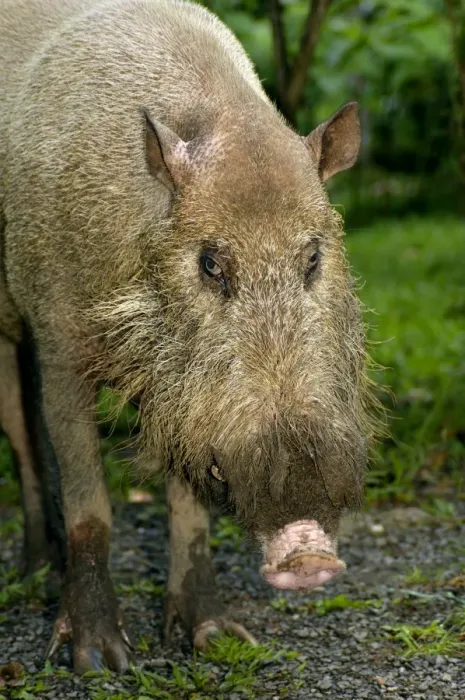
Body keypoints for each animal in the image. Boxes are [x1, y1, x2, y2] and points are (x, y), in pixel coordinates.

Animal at [0, 0, 377, 674]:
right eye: (209, 264)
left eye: (312, 256)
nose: (308, 556)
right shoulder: (58, 334)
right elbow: (90, 501)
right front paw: (99, 662)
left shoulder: (184, 401)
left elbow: (191, 507)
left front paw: (219, 641)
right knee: (21, 438)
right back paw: (33, 572)